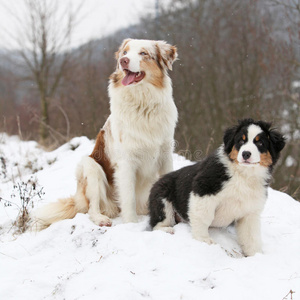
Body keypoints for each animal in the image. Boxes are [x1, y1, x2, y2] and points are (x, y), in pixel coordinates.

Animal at [150, 119, 286, 255]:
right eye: (241, 141)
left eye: (260, 143)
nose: (246, 154)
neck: (243, 174)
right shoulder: (204, 189)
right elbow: (204, 216)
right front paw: (204, 240)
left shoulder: (250, 210)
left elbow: (251, 236)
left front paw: (256, 255)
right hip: (163, 199)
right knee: (157, 223)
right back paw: (167, 230)